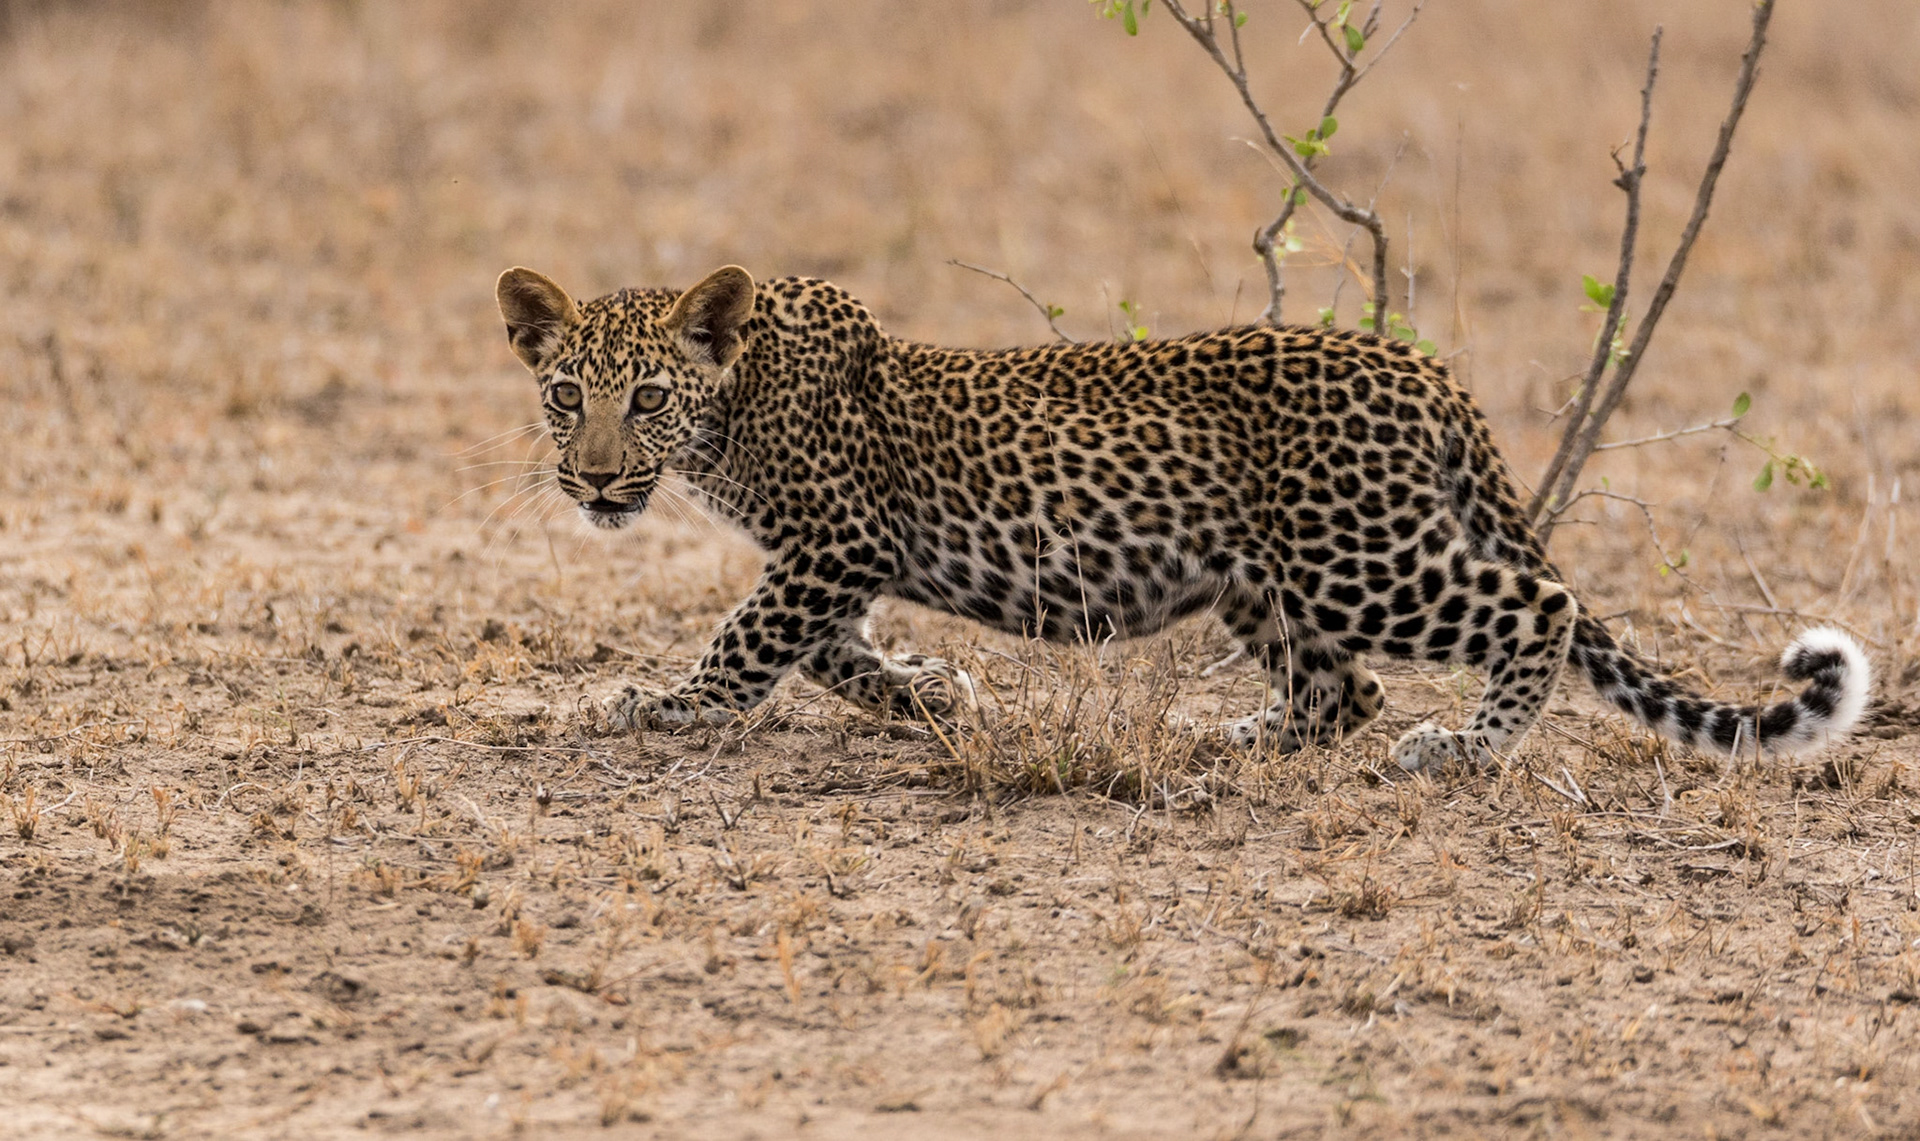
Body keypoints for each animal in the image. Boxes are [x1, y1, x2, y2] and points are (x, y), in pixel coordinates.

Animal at [493, 263, 1869, 771]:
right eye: (565, 395)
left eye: (648, 397)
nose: (597, 481)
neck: (731, 405)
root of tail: (1420, 366)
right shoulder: (826, 565)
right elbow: (833, 655)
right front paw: (938, 693)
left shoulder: (834, 544)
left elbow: (749, 644)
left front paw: (662, 706)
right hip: (1270, 578)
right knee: (1343, 691)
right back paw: (1241, 741)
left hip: (1360, 558)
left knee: (1539, 601)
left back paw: (1468, 749)